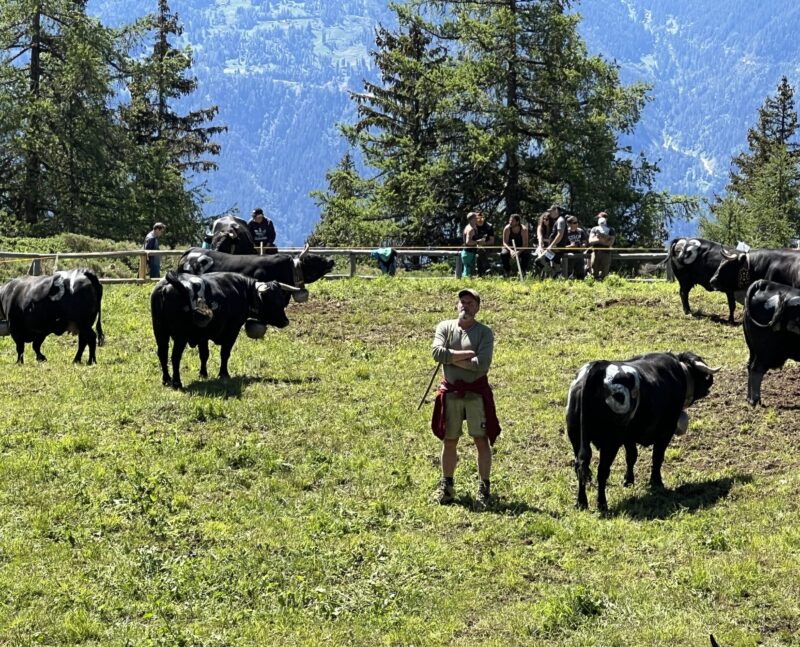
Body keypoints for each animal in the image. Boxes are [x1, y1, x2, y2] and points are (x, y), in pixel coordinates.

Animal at [150, 270, 300, 388]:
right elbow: (225, 353)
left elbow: (204, 354)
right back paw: (177, 382)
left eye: (282, 299)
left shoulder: (203, 335)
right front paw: (223, 374)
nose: (285, 321)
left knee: (162, 354)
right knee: (175, 356)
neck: (243, 290)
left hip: (160, 331)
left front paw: (203, 374)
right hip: (180, 336)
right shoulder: (232, 330)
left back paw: (166, 379)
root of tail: (169, 284)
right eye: (273, 300)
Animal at [568, 352, 720, 512]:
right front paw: (656, 481)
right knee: (602, 471)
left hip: (576, 438)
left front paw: (628, 480)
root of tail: (597, 368)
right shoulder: (666, 430)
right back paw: (602, 504)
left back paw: (581, 502)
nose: (711, 380)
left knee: (581, 467)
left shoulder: (629, 437)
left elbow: (631, 456)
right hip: (610, 443)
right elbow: (657, 457)